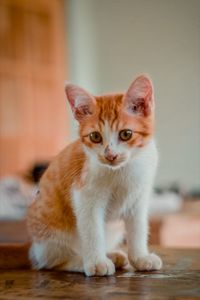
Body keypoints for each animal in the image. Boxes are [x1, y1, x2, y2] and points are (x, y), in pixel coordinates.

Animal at [27, 75, 162, 276]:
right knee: (51, 262)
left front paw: (140, 258)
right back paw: (81, 261)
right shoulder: (85, 196)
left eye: (126, 134)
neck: (122, 169)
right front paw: (97, 262)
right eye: (95, 137)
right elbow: (92, 230)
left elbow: (138, 228)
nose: (110, 155)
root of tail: (34, 250)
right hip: (50, 235)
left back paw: (114, 255)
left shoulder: (139, 198)